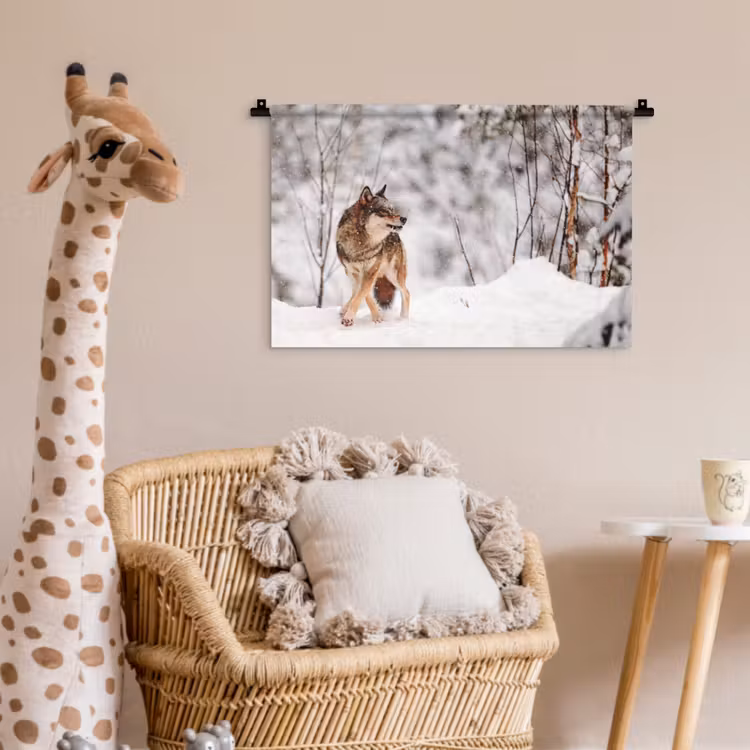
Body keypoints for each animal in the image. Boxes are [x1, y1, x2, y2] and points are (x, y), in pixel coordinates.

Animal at [336, 184, 410, 326]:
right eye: (385, 211)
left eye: (393, 209)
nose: (404, 219)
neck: (362, 241)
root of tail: (397, 236)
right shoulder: (353, 272)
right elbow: (363, 294)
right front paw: (376, 315)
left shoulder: (371, 271)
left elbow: (361, 294)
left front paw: (350, 317)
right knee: (356, 291)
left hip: (393, 275)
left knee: (407, 292)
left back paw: (404, 318)